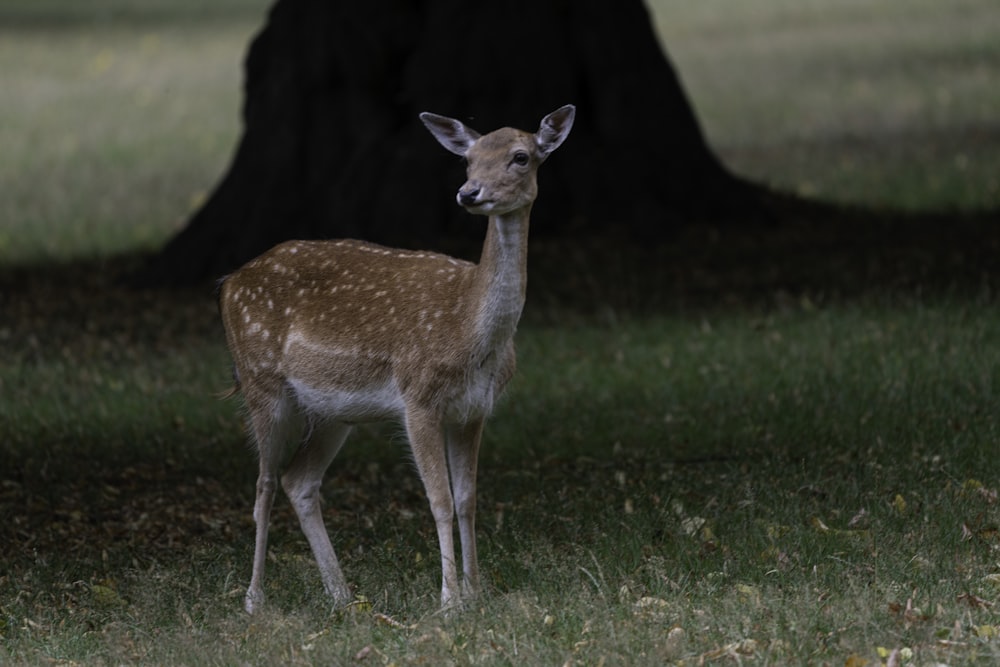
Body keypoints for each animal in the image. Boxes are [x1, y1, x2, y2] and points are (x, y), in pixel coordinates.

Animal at [219, 105, 580, 616]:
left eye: (520, 156)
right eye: (468, 159)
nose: (469, 192)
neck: (469, 331)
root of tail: (229, 283)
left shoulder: (474, 410)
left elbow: (468, 498)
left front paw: (477, 592)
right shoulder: (418, 397)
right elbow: (439, 499)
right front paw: (449, 601)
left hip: (332, 412)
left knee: (298, 480)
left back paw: (342, 595)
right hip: (260, 381)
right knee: (264, 484)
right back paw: (255, 599)